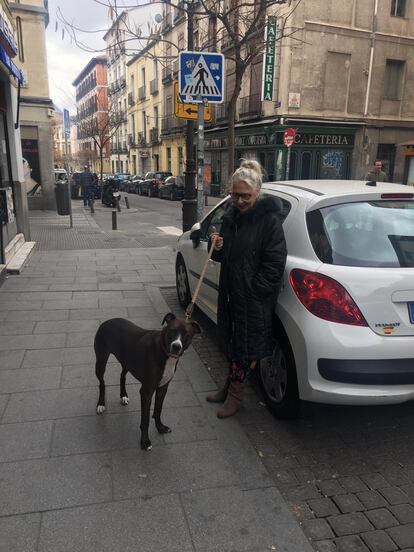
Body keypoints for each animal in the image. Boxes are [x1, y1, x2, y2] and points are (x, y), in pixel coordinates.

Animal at [94, 312, 201, 450]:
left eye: (187, 334)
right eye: (172, 330)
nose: (176, 346)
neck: (164, 351)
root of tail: (106, 322)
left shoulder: (163, 388)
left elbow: (158, 410)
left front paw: (160, 428)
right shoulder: (146, 392)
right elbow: (145, 421)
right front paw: (145, 441)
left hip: (127, 362)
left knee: (122, 376)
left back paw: (123, 396)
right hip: (101, 362)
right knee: (102, 383)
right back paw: (101, 404)